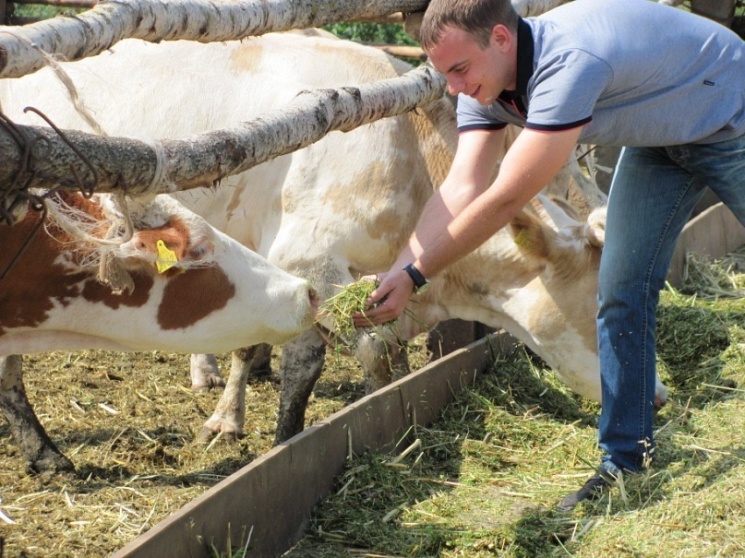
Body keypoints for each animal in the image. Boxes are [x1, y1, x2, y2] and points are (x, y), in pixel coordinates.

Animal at [0, 31, 664, 456]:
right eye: (601, 312)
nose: (656, 397)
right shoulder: (306, 259)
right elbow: (309, 360)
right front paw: (280, 437)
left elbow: (346, 351)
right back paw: (43, 450)